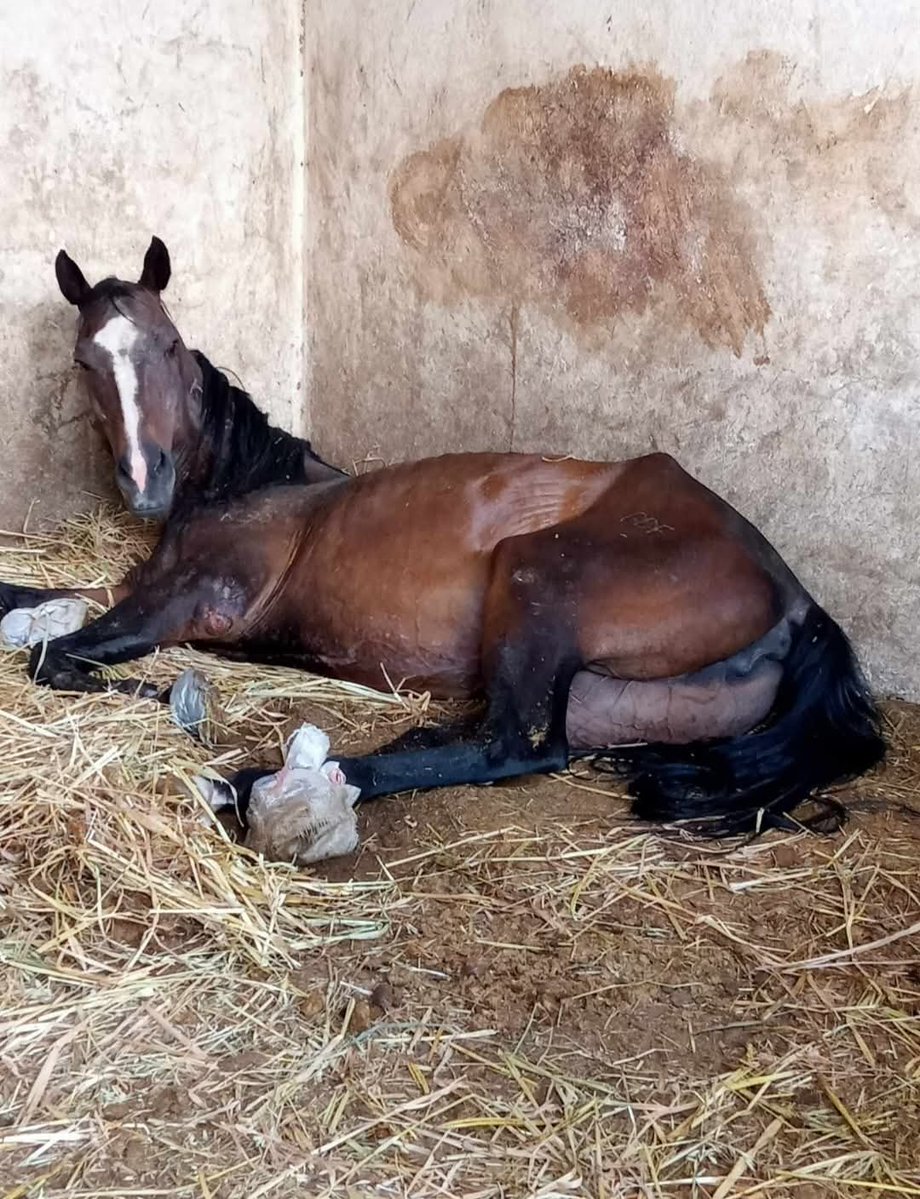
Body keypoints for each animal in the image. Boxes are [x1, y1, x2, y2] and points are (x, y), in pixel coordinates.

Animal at [0, 237, 884, 838]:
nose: (144, 483)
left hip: (538, 574)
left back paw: (250, 784)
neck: (252, 482)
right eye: (84, 362)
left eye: (170, 345)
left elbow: (51, 656)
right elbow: (41, 608)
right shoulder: (139, 586)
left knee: (512, 749)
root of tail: (795, 596)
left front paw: (169, 698)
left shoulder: (189, 599)